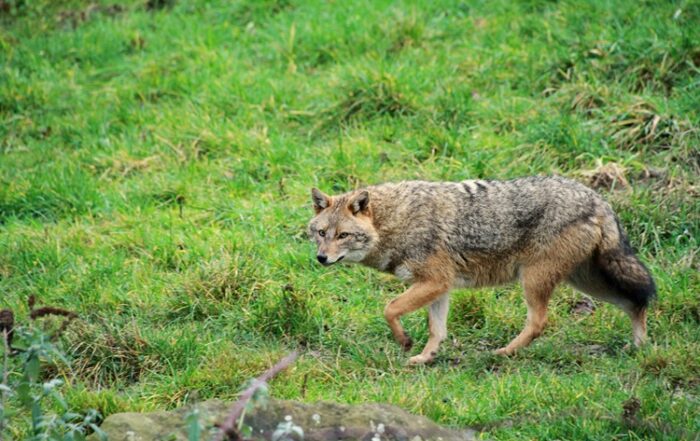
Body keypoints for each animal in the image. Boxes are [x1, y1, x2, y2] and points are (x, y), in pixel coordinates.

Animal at [307, 176, 656, 365]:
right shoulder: (439, 287)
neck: (396, 220)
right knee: (636, 302)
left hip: (535, 281)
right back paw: (639, 348)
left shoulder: (434, 282)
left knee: (540, 322)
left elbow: (389, 309)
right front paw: (424, 358)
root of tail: (598, 199)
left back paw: (504, 353)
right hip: (587, 281)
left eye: (343, 235)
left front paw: (405, 342)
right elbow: (437, 330)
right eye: (321, 233)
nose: (321, 258)